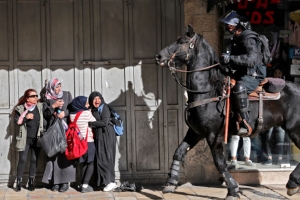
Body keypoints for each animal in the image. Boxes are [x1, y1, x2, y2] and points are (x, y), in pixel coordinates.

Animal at [156, 24, 300, 198]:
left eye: (182, 41)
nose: (159, 56)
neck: (207, 91)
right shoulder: (195, 132)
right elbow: (178, 152)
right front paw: (170, 183)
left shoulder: (214, 136)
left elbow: (220, 163)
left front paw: (233, 189)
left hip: (295, 130)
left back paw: (292, 183)